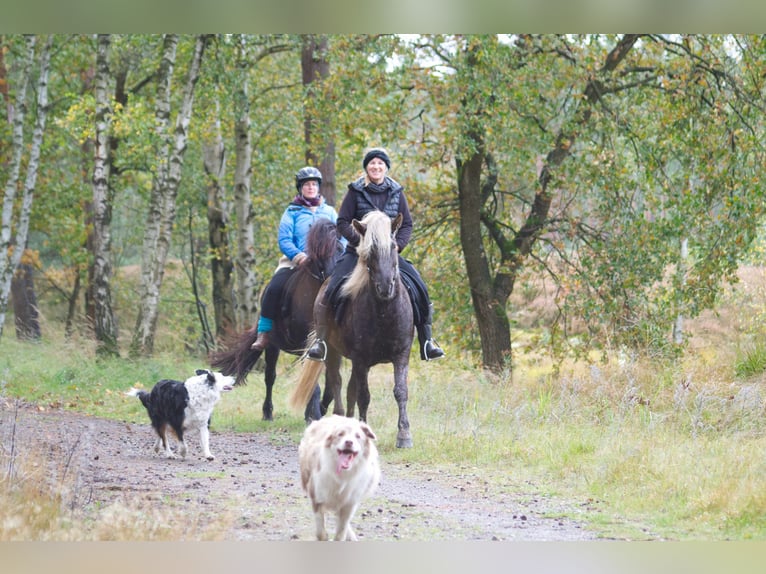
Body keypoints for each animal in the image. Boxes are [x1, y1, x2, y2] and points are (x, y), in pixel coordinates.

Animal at [208, 219, 344, 424]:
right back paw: (268, 413)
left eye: (341, 248)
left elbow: (329, 383)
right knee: (270, 377)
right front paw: (314, 414)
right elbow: (314, 384)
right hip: (272, 345)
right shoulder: (307, 346)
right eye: (320, 253)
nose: (331, 282)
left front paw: (319, 410)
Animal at [292, 212, 416, 450]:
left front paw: (404, 435)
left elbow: (401, 391)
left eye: (394, 246)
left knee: (349, 390)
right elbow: (364, 396)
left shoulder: (401, 355)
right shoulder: (360, 359)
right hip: (332, 351)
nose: (385, 287)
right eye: (370, 251)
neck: (384, 312)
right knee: (337, 383)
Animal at [300, 416, 384, 544]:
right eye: (340, 434)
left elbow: (341, 530)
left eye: (358, 436)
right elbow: (320, 531)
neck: (342, 476)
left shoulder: (350, 503)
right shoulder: (317, 496)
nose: (349, 442)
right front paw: (324, 537)